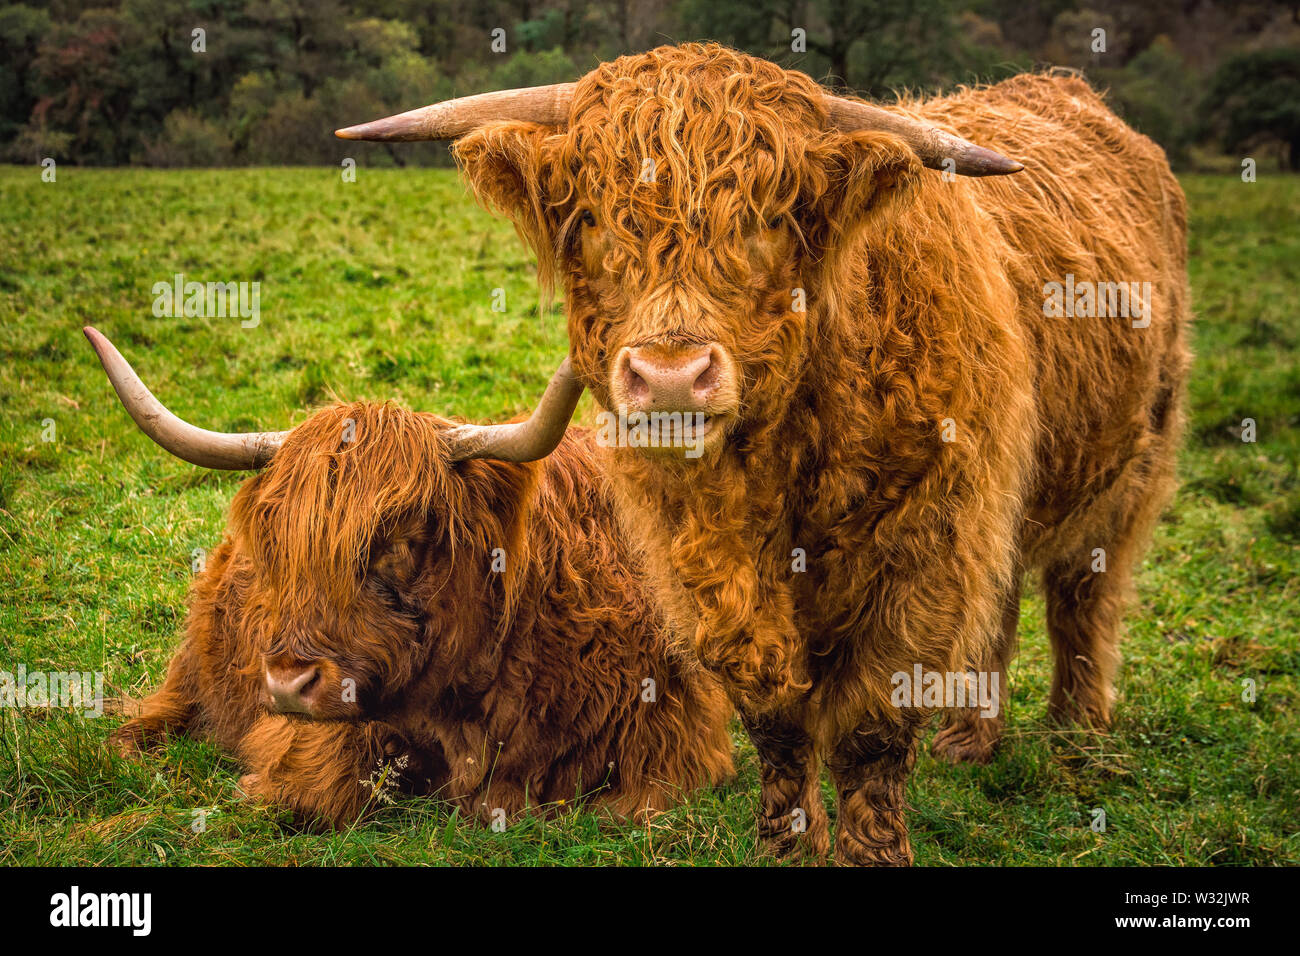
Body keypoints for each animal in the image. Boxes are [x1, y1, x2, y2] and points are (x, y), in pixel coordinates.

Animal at [85, 327, 733, 827]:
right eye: (279, 545)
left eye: (400, 540)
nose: (288, 684)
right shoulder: (319, 728)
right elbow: (311, 791)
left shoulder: (676, 732)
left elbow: (633, 807)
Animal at [337, 42, 1192, 864]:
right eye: (591, 219)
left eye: (773, 218)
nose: (671, 376)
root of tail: (1062, 88)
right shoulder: (700, 568)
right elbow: (774, 717)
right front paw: (785, 840)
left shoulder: (926, 551)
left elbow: (871, 730)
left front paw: (870, 852)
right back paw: (970, 740)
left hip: (1133, 463)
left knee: (1083, 596)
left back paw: (1078, 732)